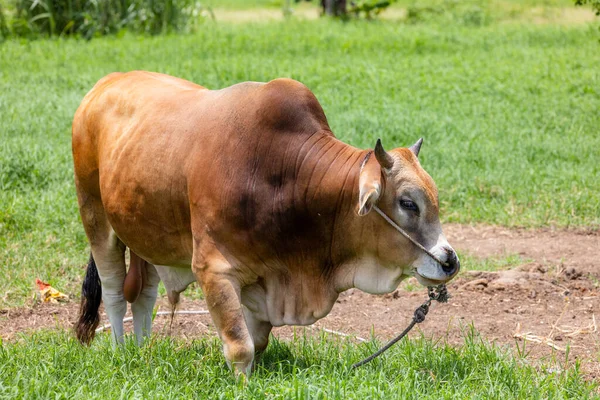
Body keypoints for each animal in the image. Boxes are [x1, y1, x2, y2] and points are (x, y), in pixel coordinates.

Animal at [75, 72, 460, 376]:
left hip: (147, 236)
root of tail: (104, 84)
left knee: (143, 294)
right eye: (408, 203)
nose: (449, 261)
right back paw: (122, 351)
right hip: (96, 218)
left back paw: (143, 350)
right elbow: (240, 346)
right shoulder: (213, 270)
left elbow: (256, 342)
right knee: (114, 291)